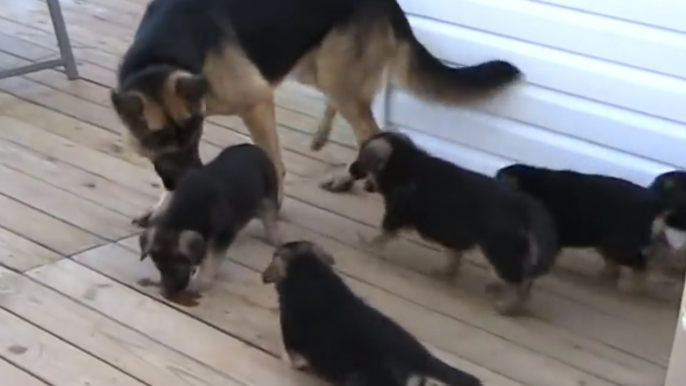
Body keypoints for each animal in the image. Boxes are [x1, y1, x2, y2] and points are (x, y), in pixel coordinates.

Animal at [138, 143, 280, 298]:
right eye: (159, 267)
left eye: (180, 264)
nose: (168, 290)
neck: (185, 212)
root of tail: (254, 147)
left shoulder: (222, 236)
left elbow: (211, 260)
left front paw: (200, 282)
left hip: (269, 195)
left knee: (271, 219)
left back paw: (274, 239)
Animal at [350, 131, 560, 316]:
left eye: (361, 158)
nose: (351, 169)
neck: (406, 164)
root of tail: (522, 204)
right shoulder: (454, 234)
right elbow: (453, 257)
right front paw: (446, 271)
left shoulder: (395, 216)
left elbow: (382, 234)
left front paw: (369, 244)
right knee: (524, 278)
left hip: (500, 250)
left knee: (521, 282)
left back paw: (508, 306)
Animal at [498, 164, 686, 292]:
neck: (531, 184)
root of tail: (655, 200)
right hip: (607, 243)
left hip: (620, 244)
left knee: (642, 262)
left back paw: (636, 283)